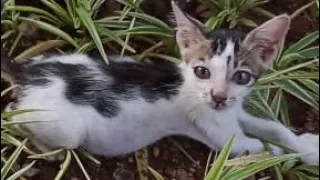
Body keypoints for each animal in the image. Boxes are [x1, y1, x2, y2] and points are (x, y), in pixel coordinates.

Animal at [3, 0, 318, 166]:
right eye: (202, 71)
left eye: (242, 76)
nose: (217, 96)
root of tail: (27, 71)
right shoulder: (227, 139)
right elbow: (266, 149)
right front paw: (296, 153)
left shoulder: (236, 110)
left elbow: (277, 128)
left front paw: (307, 144)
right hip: (66, 130)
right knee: (13, 116)